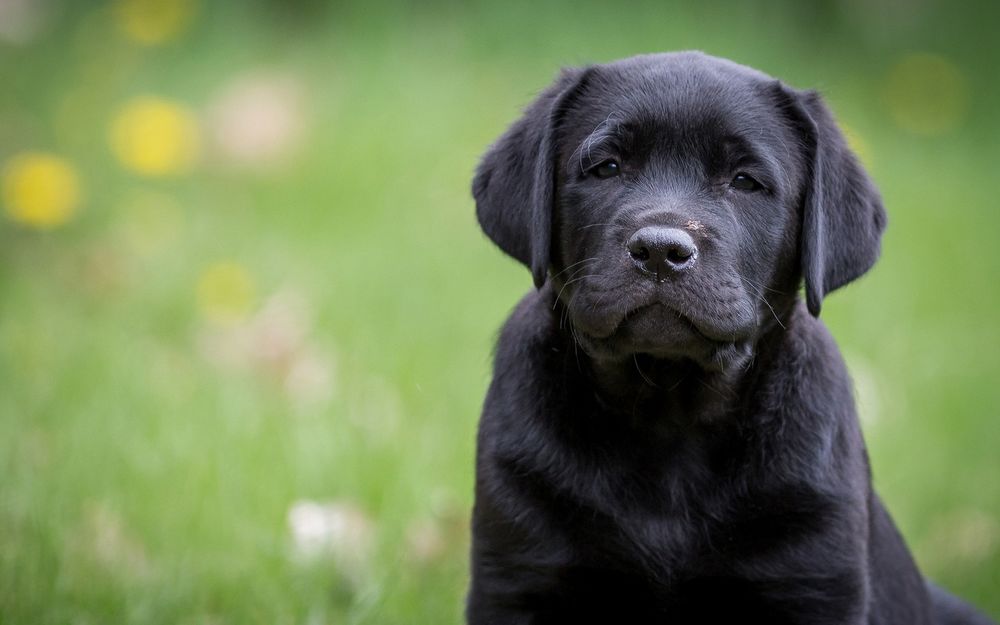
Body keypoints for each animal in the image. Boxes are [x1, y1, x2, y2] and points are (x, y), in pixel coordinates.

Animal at [466, 52, 992, 624]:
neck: (668, 415)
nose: (660, 250)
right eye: (605, 167)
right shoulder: (517, 577)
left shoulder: (816, 582)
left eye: (744, 181)